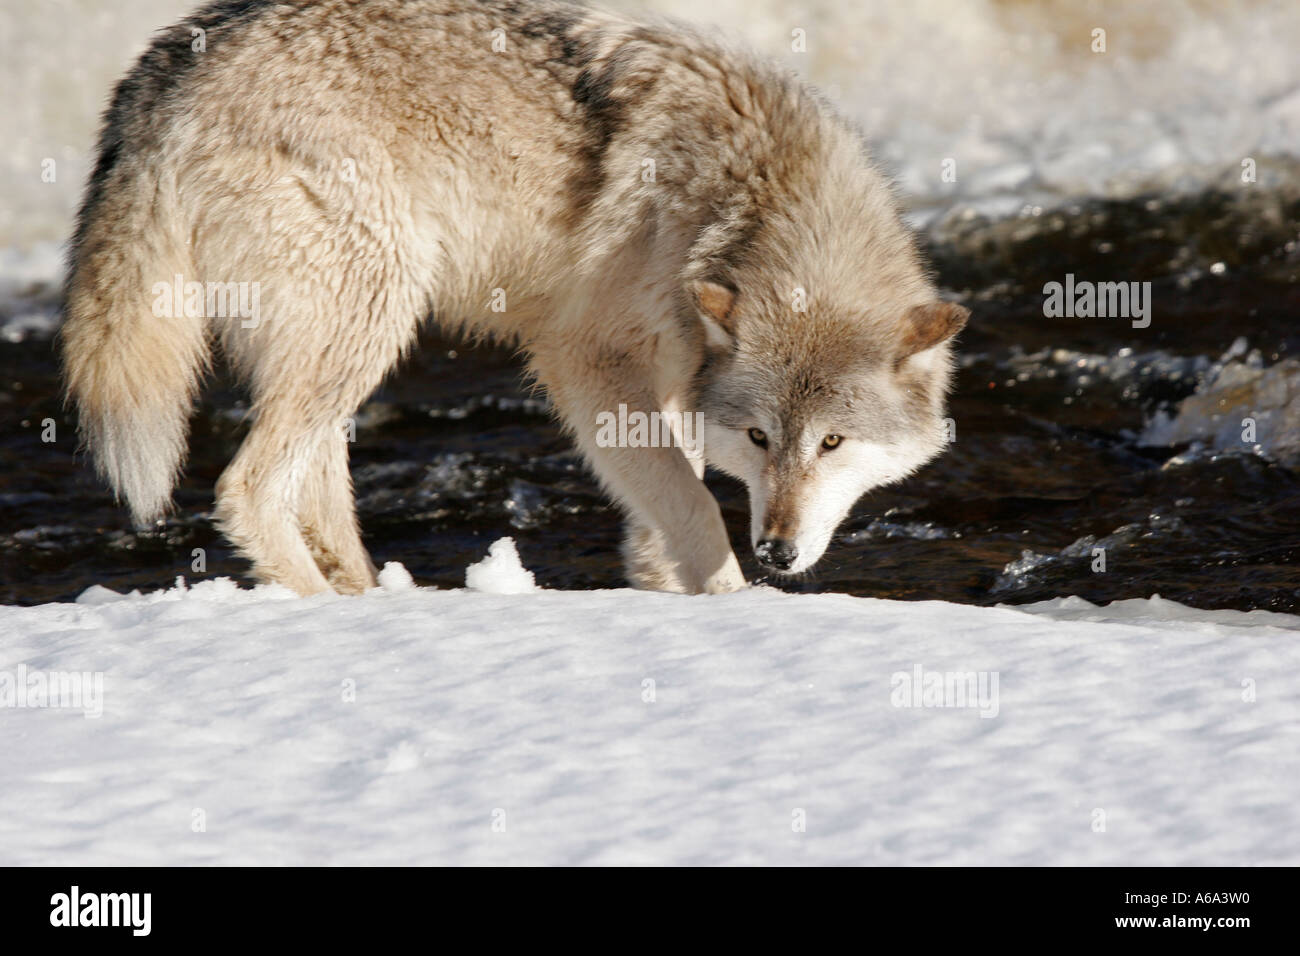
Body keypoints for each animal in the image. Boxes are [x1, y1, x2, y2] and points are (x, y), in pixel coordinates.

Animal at [61, 0, 961, 595]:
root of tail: (170, 68)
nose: (776, 552)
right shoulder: (581, 357)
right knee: (246, 490)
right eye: (761, 437)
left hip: (341, 342)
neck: (744, 194)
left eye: (833, 443)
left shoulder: (668, 374)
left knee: (312, 484)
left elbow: (663, 507)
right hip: (373, 313)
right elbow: (697, 508)